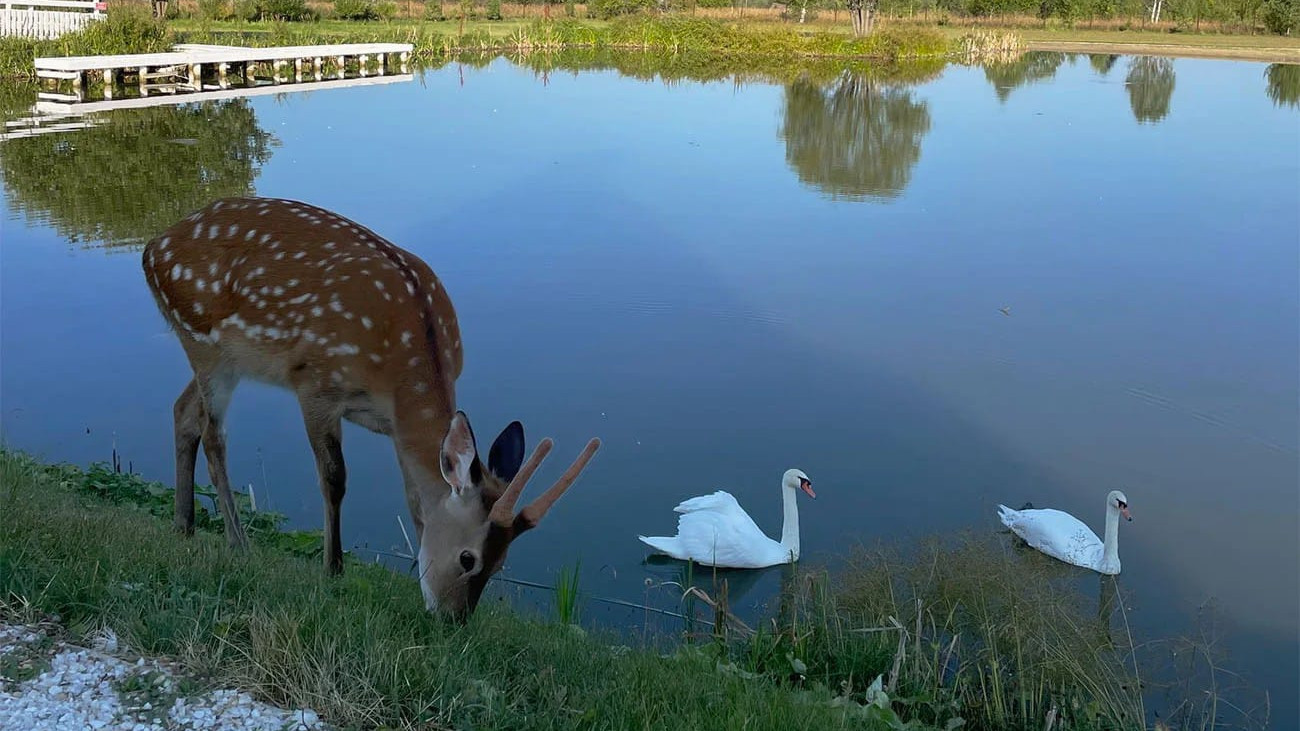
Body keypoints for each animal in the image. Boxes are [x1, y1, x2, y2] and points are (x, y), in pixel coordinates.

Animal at [141, 196, 598, 616]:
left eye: (502, 564)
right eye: (468, 558)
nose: (453, 620)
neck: (395, 372)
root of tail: (152, 249)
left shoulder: (395, 427)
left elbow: (414, 499)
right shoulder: (315, 383)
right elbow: (334, 478)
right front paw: (334, 569)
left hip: (224, 358)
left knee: (183, 410)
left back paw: (184, 526)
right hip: (203, 339)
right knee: (214, 434)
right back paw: (238, 543)